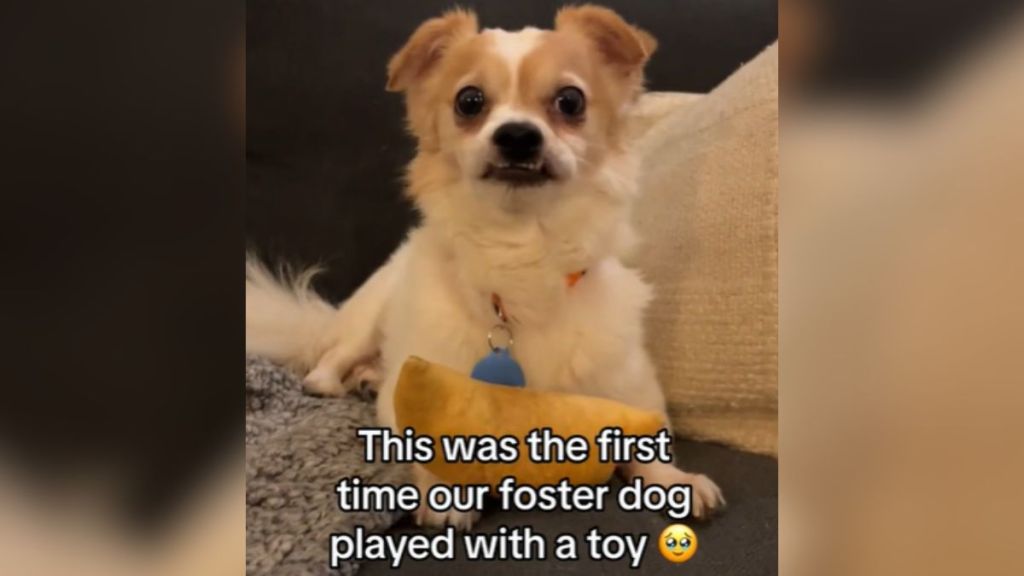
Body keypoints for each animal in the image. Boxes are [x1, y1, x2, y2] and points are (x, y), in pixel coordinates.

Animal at [246, 4, 724, 528]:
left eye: (571, 101)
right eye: (469, 101)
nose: (517, 135)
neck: (521, 254)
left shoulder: (630, 385)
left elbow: (647, 441)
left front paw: (677, 481)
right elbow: (430, 437)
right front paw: (447, 496)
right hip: (368, 318)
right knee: (335, 354)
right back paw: (331, 381)